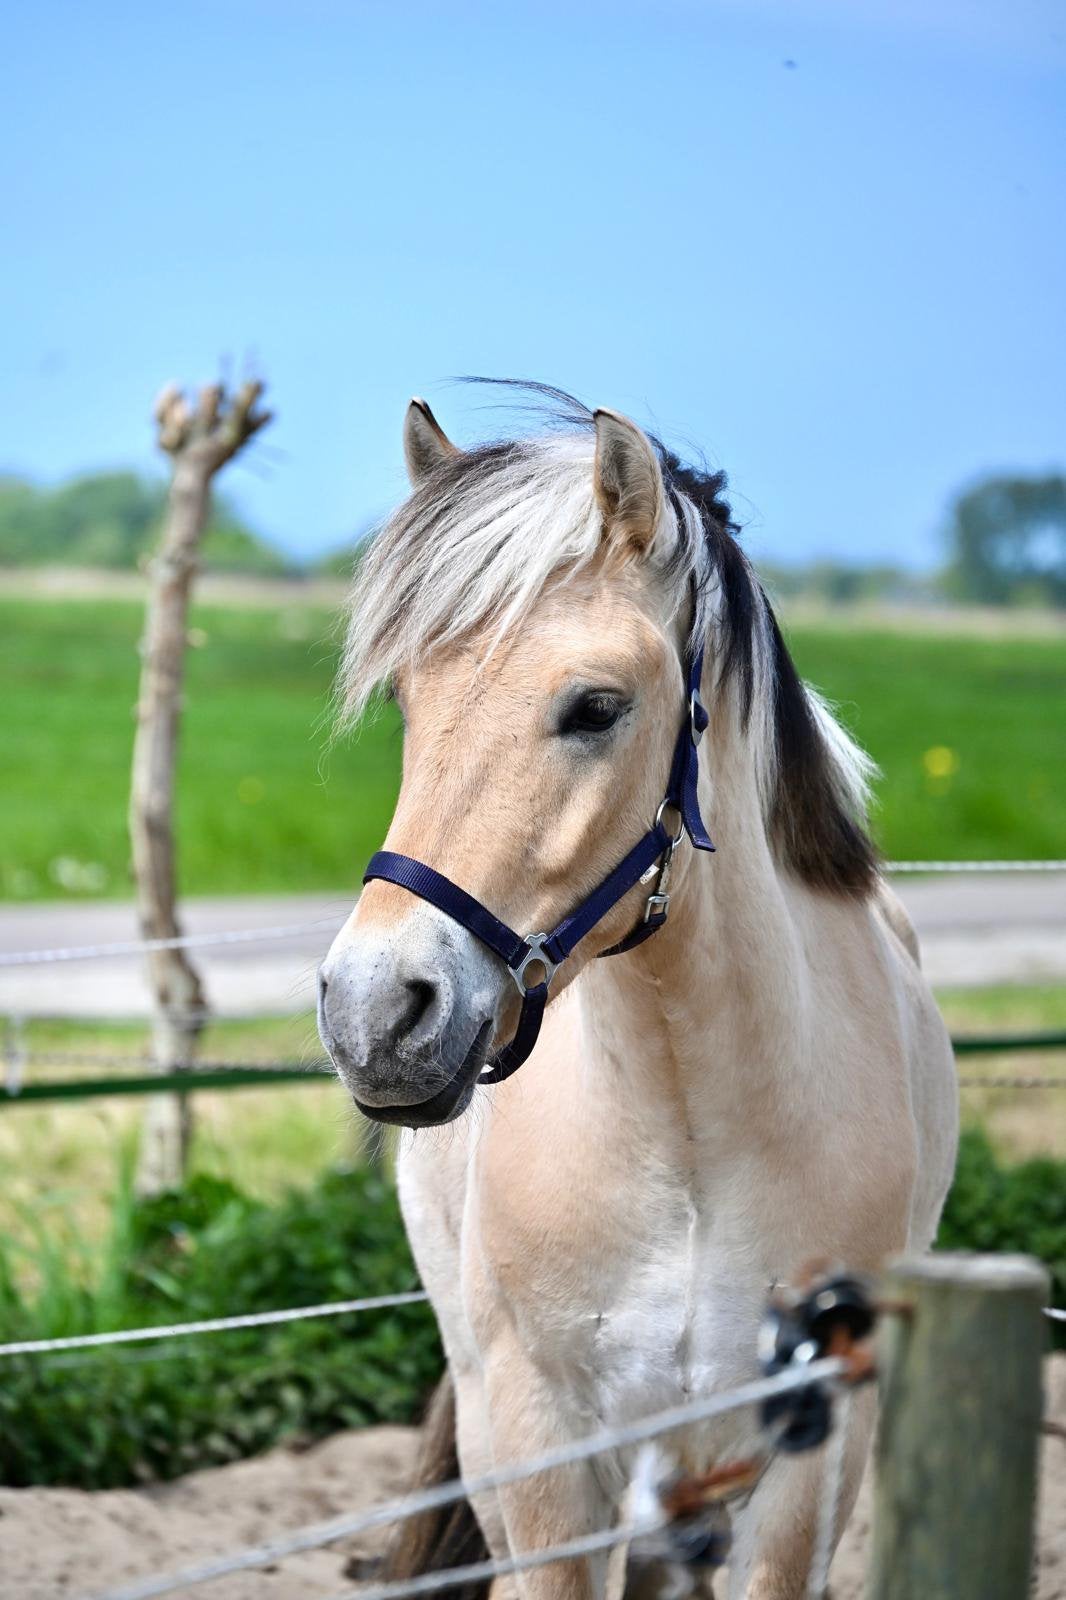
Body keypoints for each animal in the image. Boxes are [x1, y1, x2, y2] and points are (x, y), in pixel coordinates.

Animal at [318, 386, 958, 1599]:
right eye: (411, 704)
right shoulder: (540, 1446)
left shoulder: (805, 1461)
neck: (689, 1131)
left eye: (595, 706)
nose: (374, 1011)